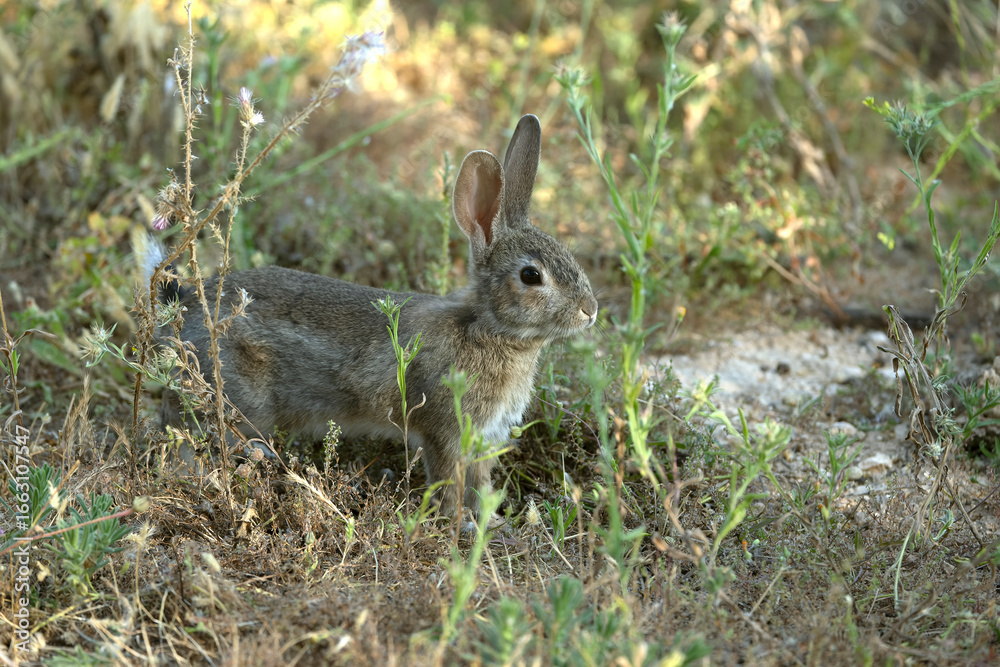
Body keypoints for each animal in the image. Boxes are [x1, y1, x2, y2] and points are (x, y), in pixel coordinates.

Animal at [141, 114, 598, 522]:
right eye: (531, 276)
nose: (590, 310)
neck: (488, 330)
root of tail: (185, 306)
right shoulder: (445, 431)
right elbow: (448, 481)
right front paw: (460, 525)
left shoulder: (485, 438)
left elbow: (479, 484)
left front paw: (490, 520)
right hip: (235, 400)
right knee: (184, 433)